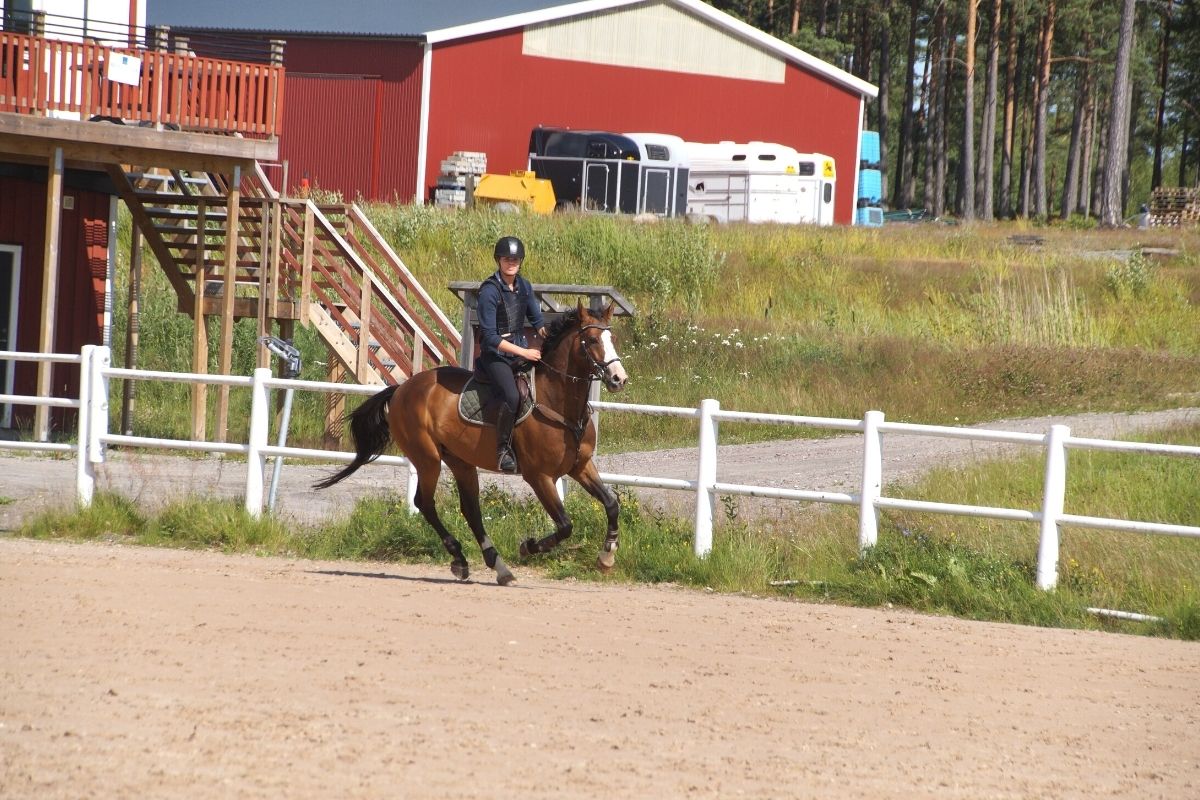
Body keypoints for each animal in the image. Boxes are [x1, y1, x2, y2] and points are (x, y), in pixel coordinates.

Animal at [314, 299, 633, 582]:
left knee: (471, 511)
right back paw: (460, 559)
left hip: (460, 462)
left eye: (612, 337)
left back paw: (498, 567)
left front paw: (607, 556)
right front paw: (528, 547)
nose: (619, 379)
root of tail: (402, 388)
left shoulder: (580, 467)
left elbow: (611, 504)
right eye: (592, 339)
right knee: (424, 503)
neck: (558, 402)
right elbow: (565, 526)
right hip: (427, 458)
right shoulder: (539, 476)